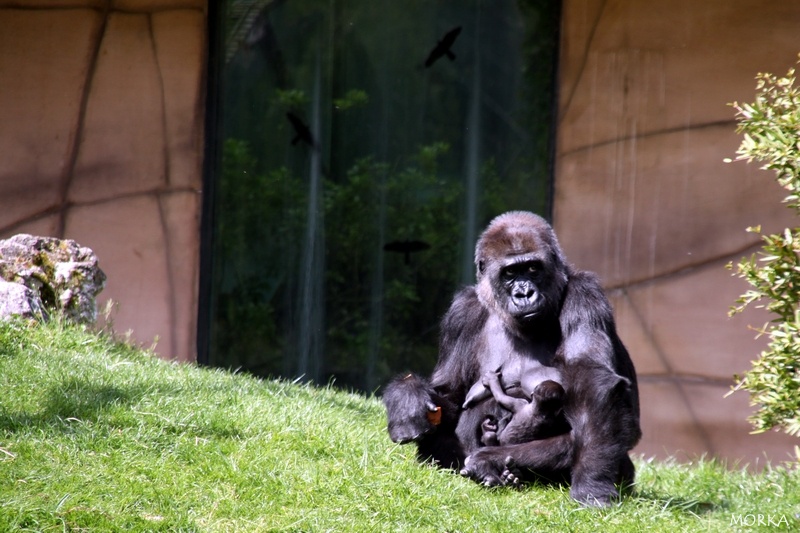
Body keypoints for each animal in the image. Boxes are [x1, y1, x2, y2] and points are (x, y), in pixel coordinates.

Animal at [382, 210, 644, 504]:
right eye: (509, 273)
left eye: (532, 268)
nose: (524, 293)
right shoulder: (461, 312)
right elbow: (450, 395)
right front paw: (407, 397)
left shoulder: (585, 294)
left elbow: (592, 382)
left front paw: (592, 483)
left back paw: (493, 464)